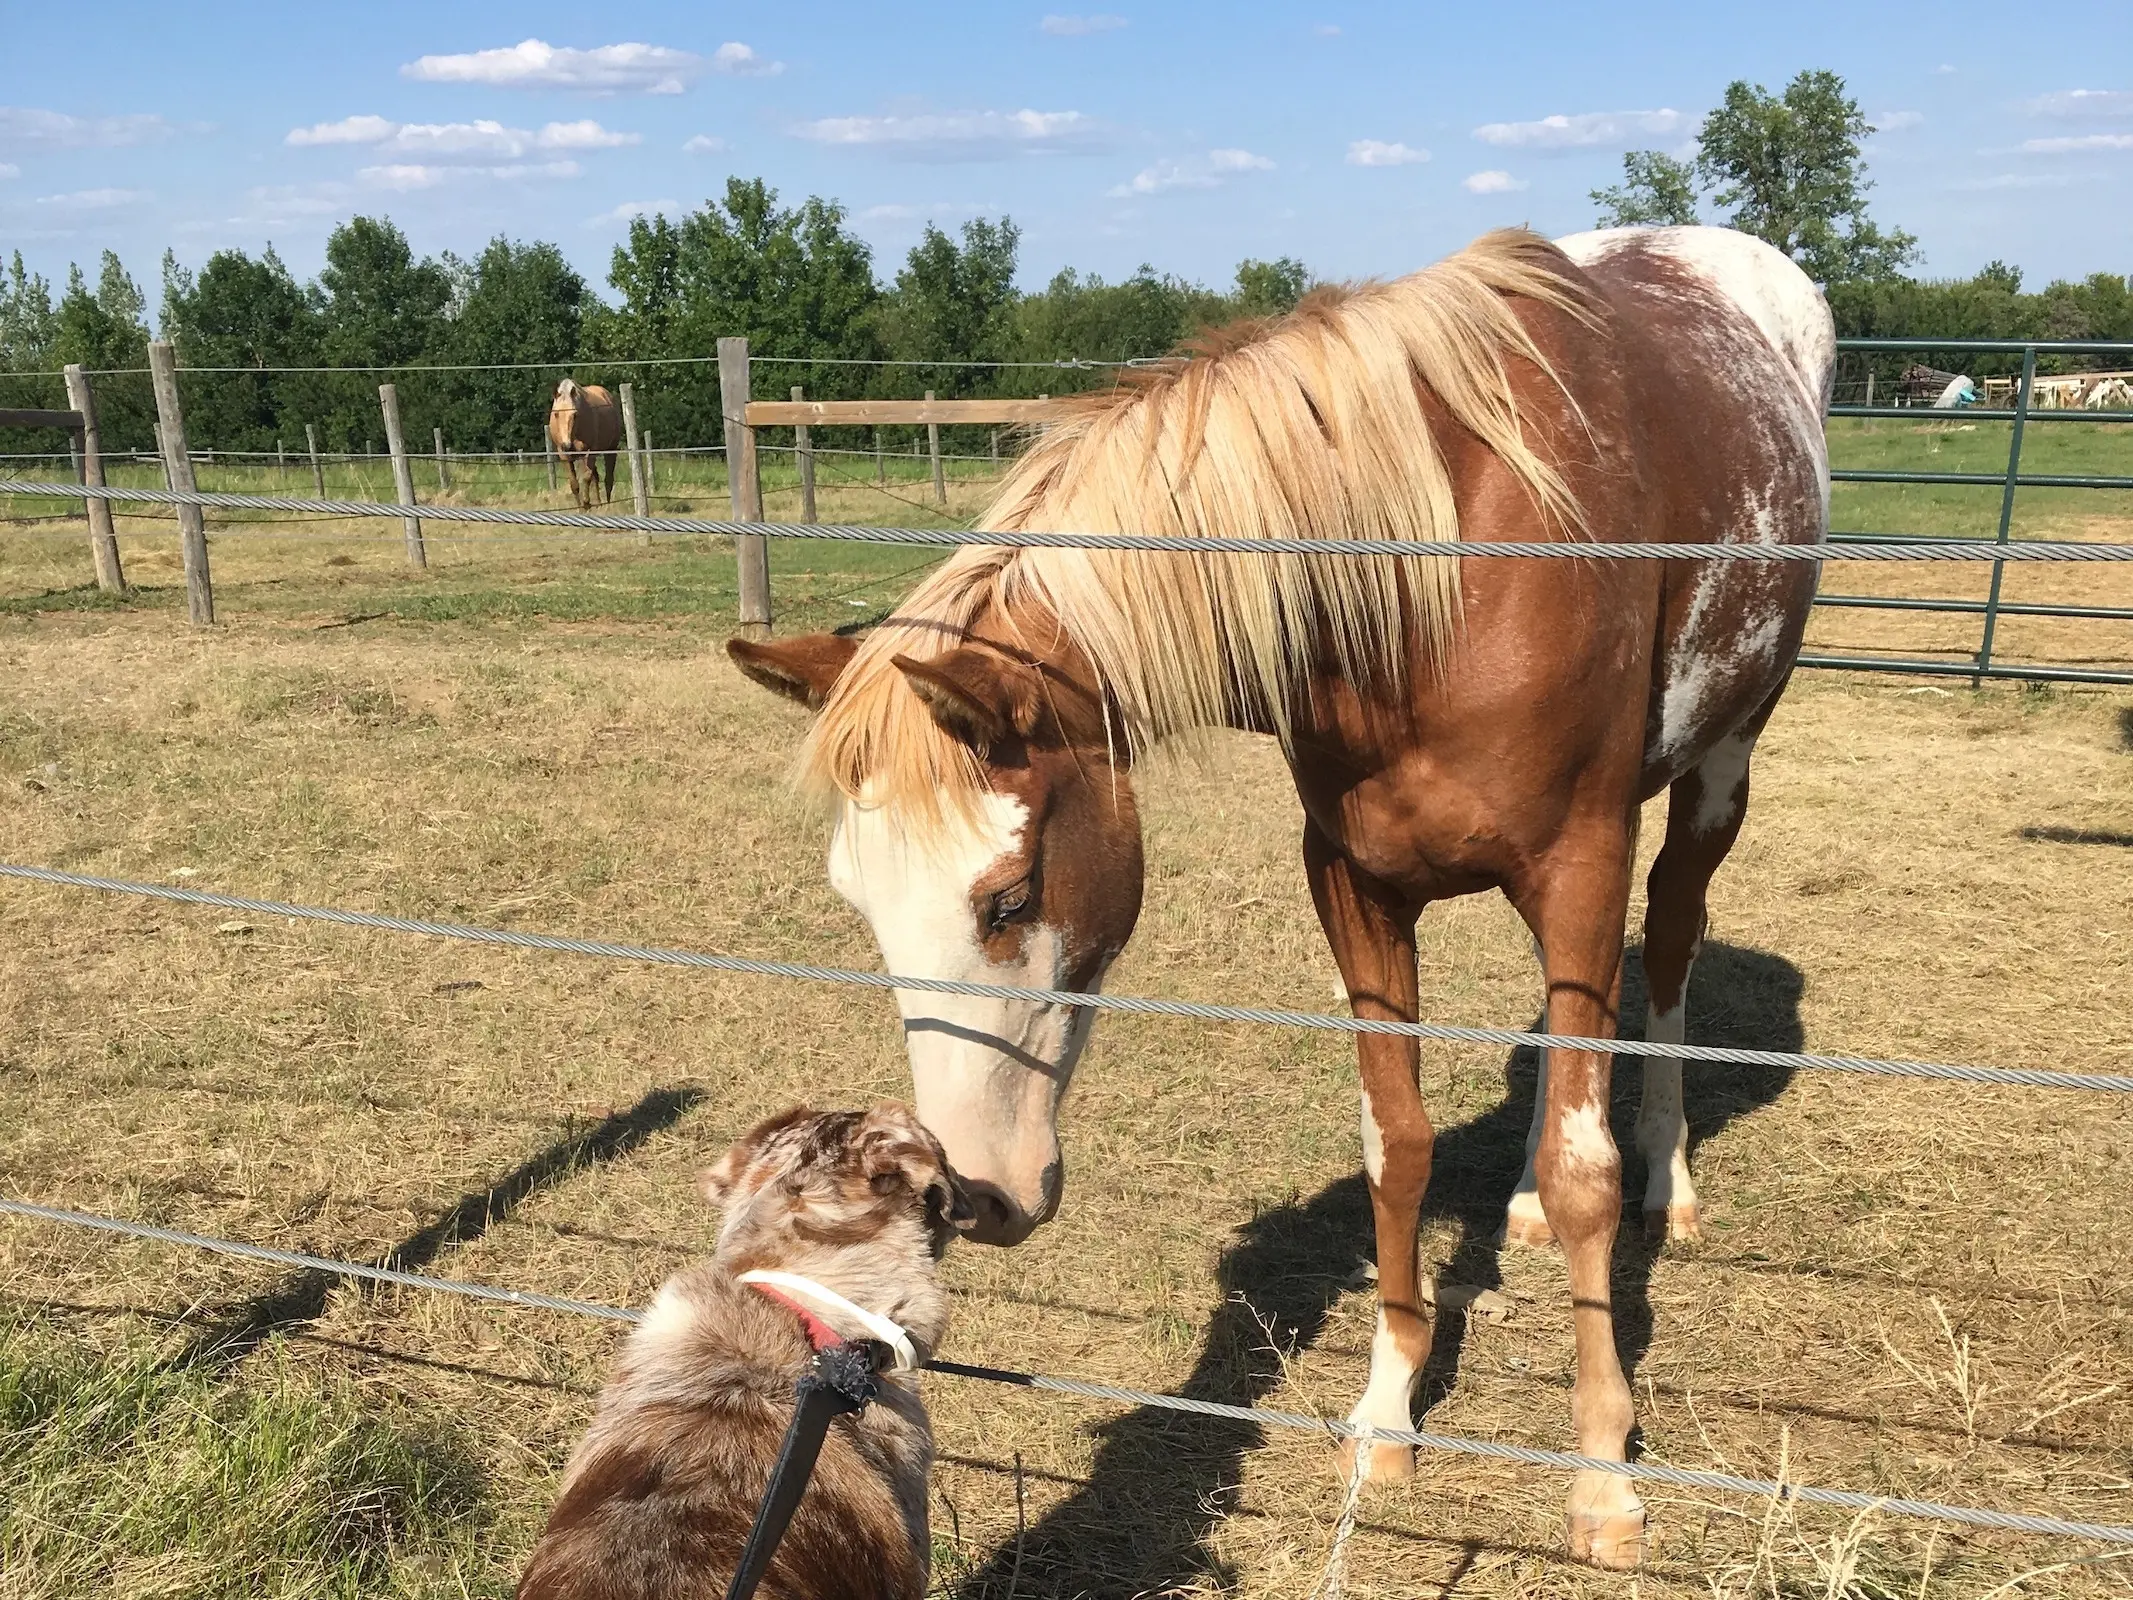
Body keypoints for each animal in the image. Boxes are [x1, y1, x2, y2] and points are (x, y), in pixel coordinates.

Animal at [546, 379, 622, 509]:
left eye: (575, 414)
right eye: (556, 414)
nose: (567, 445)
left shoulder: (590, 452)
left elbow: (586, 478)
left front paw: (586, 503)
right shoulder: (564, 455)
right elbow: (574, 484)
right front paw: (580, 508)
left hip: (611, 449)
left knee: (608, 479)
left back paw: (607, 506)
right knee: (596, 476)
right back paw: (599, 504)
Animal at [729, 228, 1834, 1578]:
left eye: (1013, 892)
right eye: (860, 906)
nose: (976, 1195)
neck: (1434, 568)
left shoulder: (1583, 858)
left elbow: (1590, 1170)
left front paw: (1603, 1475)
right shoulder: (1355, 881)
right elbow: (1396, 1144)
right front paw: (1388, 1409)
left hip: (1717, 769)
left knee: (1666, 958)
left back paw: (1670, 1183)